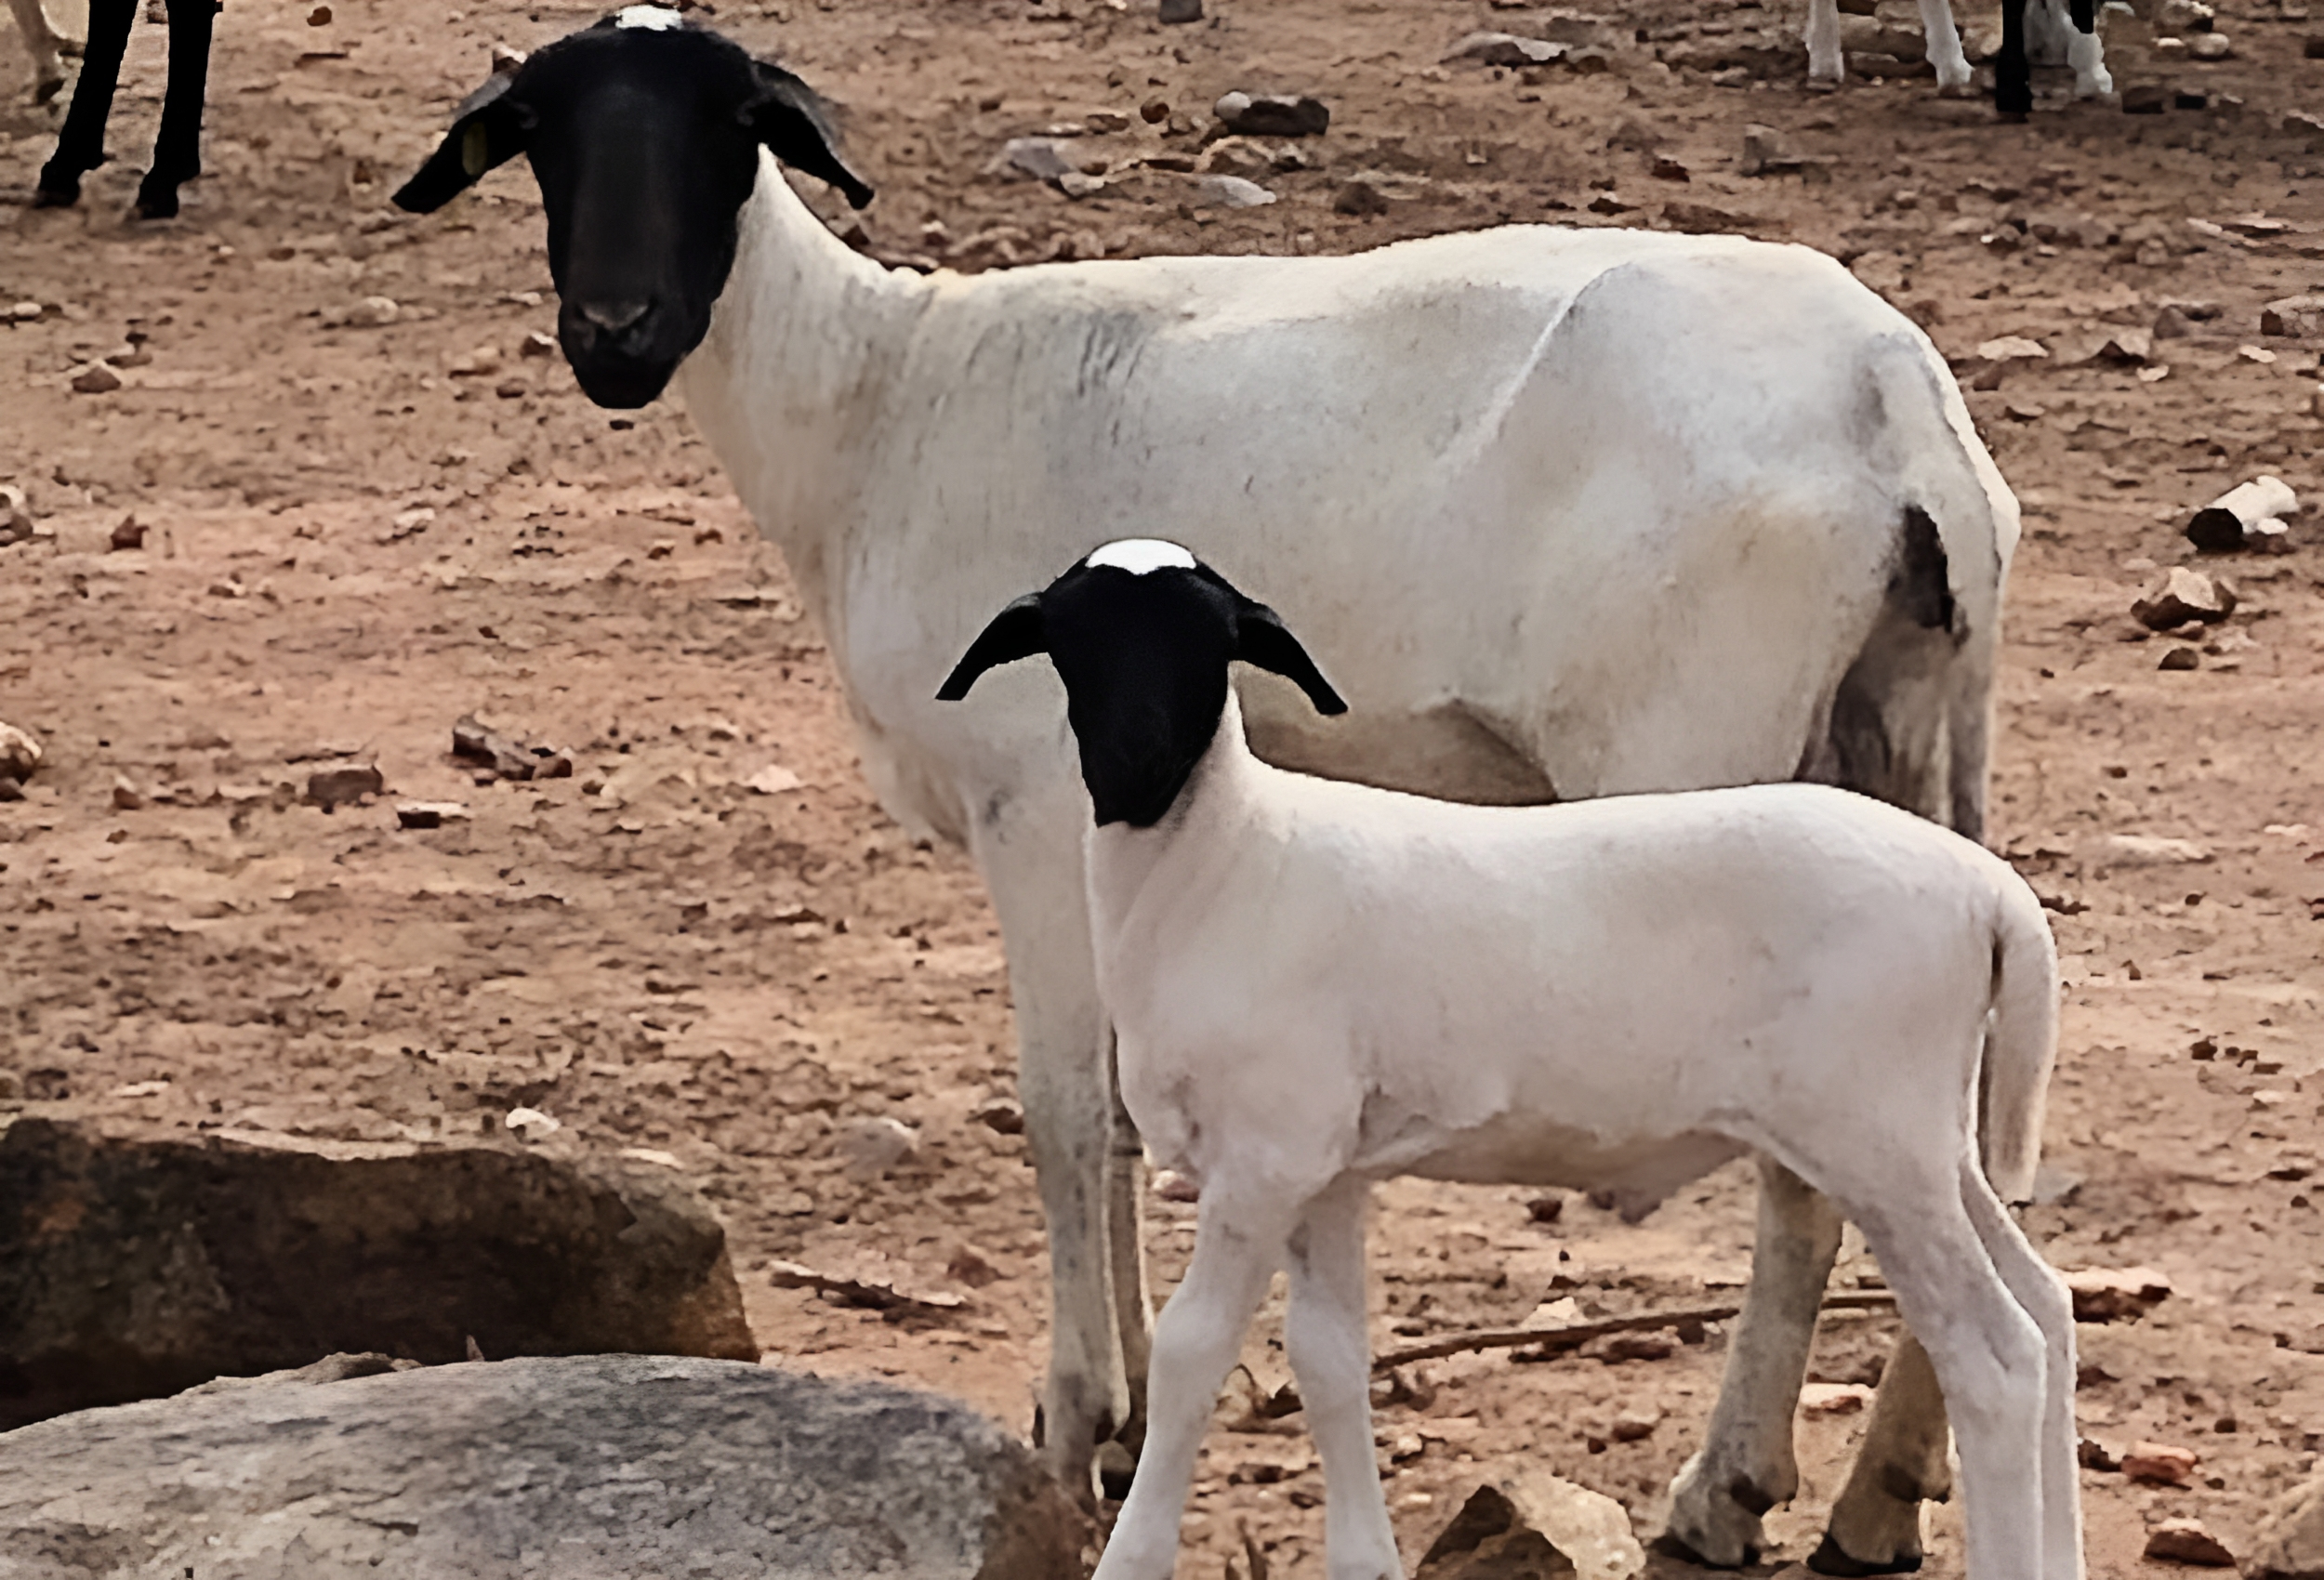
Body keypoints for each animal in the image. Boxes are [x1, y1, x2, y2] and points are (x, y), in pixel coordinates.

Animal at [944, 539, 2092, 1580]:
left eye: (1209, 644)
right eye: (1072, 642)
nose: (1134, 763)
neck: (1225, 856)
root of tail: (1989, 893)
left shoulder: (1264, 1155)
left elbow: (1192, 1352)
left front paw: (1131, 1556)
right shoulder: (1326, 1166)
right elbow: (1329, 1358)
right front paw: (1365, 1562)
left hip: (1875, 1139)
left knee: (1995, 1357)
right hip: (1928, 1141)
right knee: (2045, 1307)